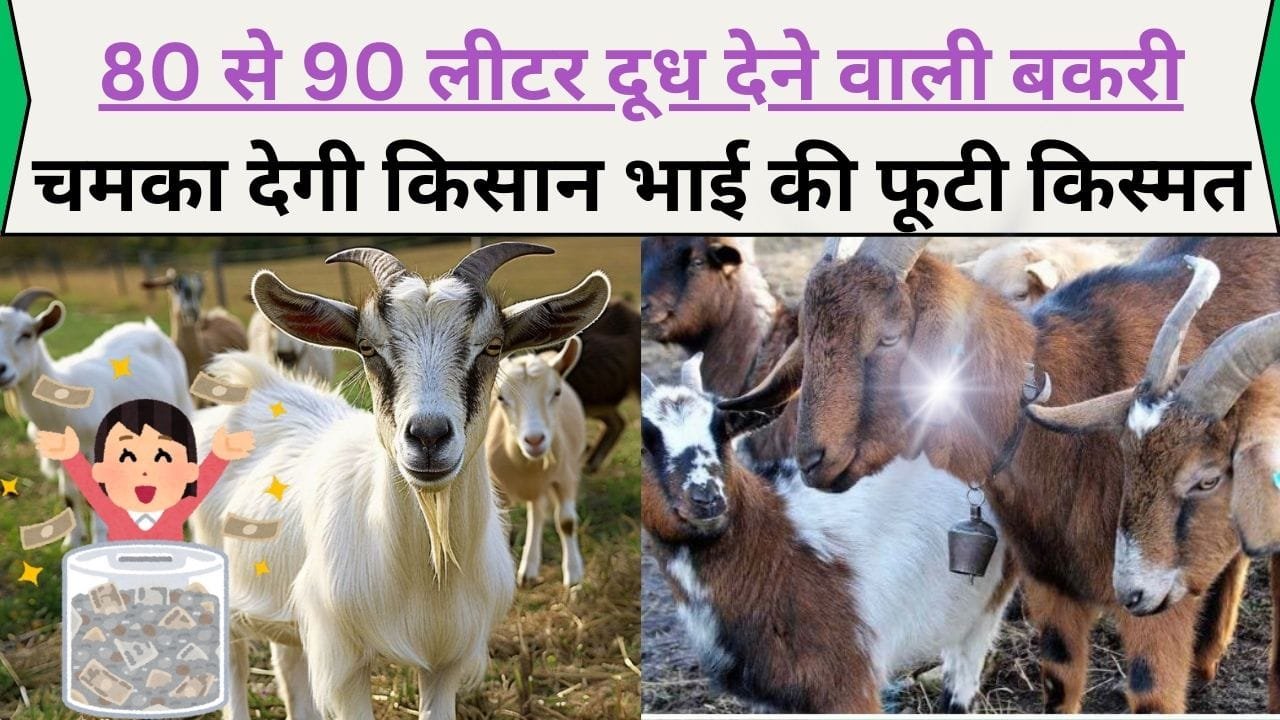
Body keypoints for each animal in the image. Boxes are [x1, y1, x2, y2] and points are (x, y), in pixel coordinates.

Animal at [0, 288, 192, 546]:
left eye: (26, 334)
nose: (1, 370)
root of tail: (150, 328)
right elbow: (69, 494)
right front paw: (72, 540)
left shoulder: (94, 447)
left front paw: (99, 540)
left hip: (181, 403)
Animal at [487, 337, 587, 587]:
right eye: (501, 398)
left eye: (557, 392)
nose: (534, 440)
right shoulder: (496, 487)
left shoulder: (566, 477)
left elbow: (567, 521)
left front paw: (573, 577)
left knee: (538, 512)